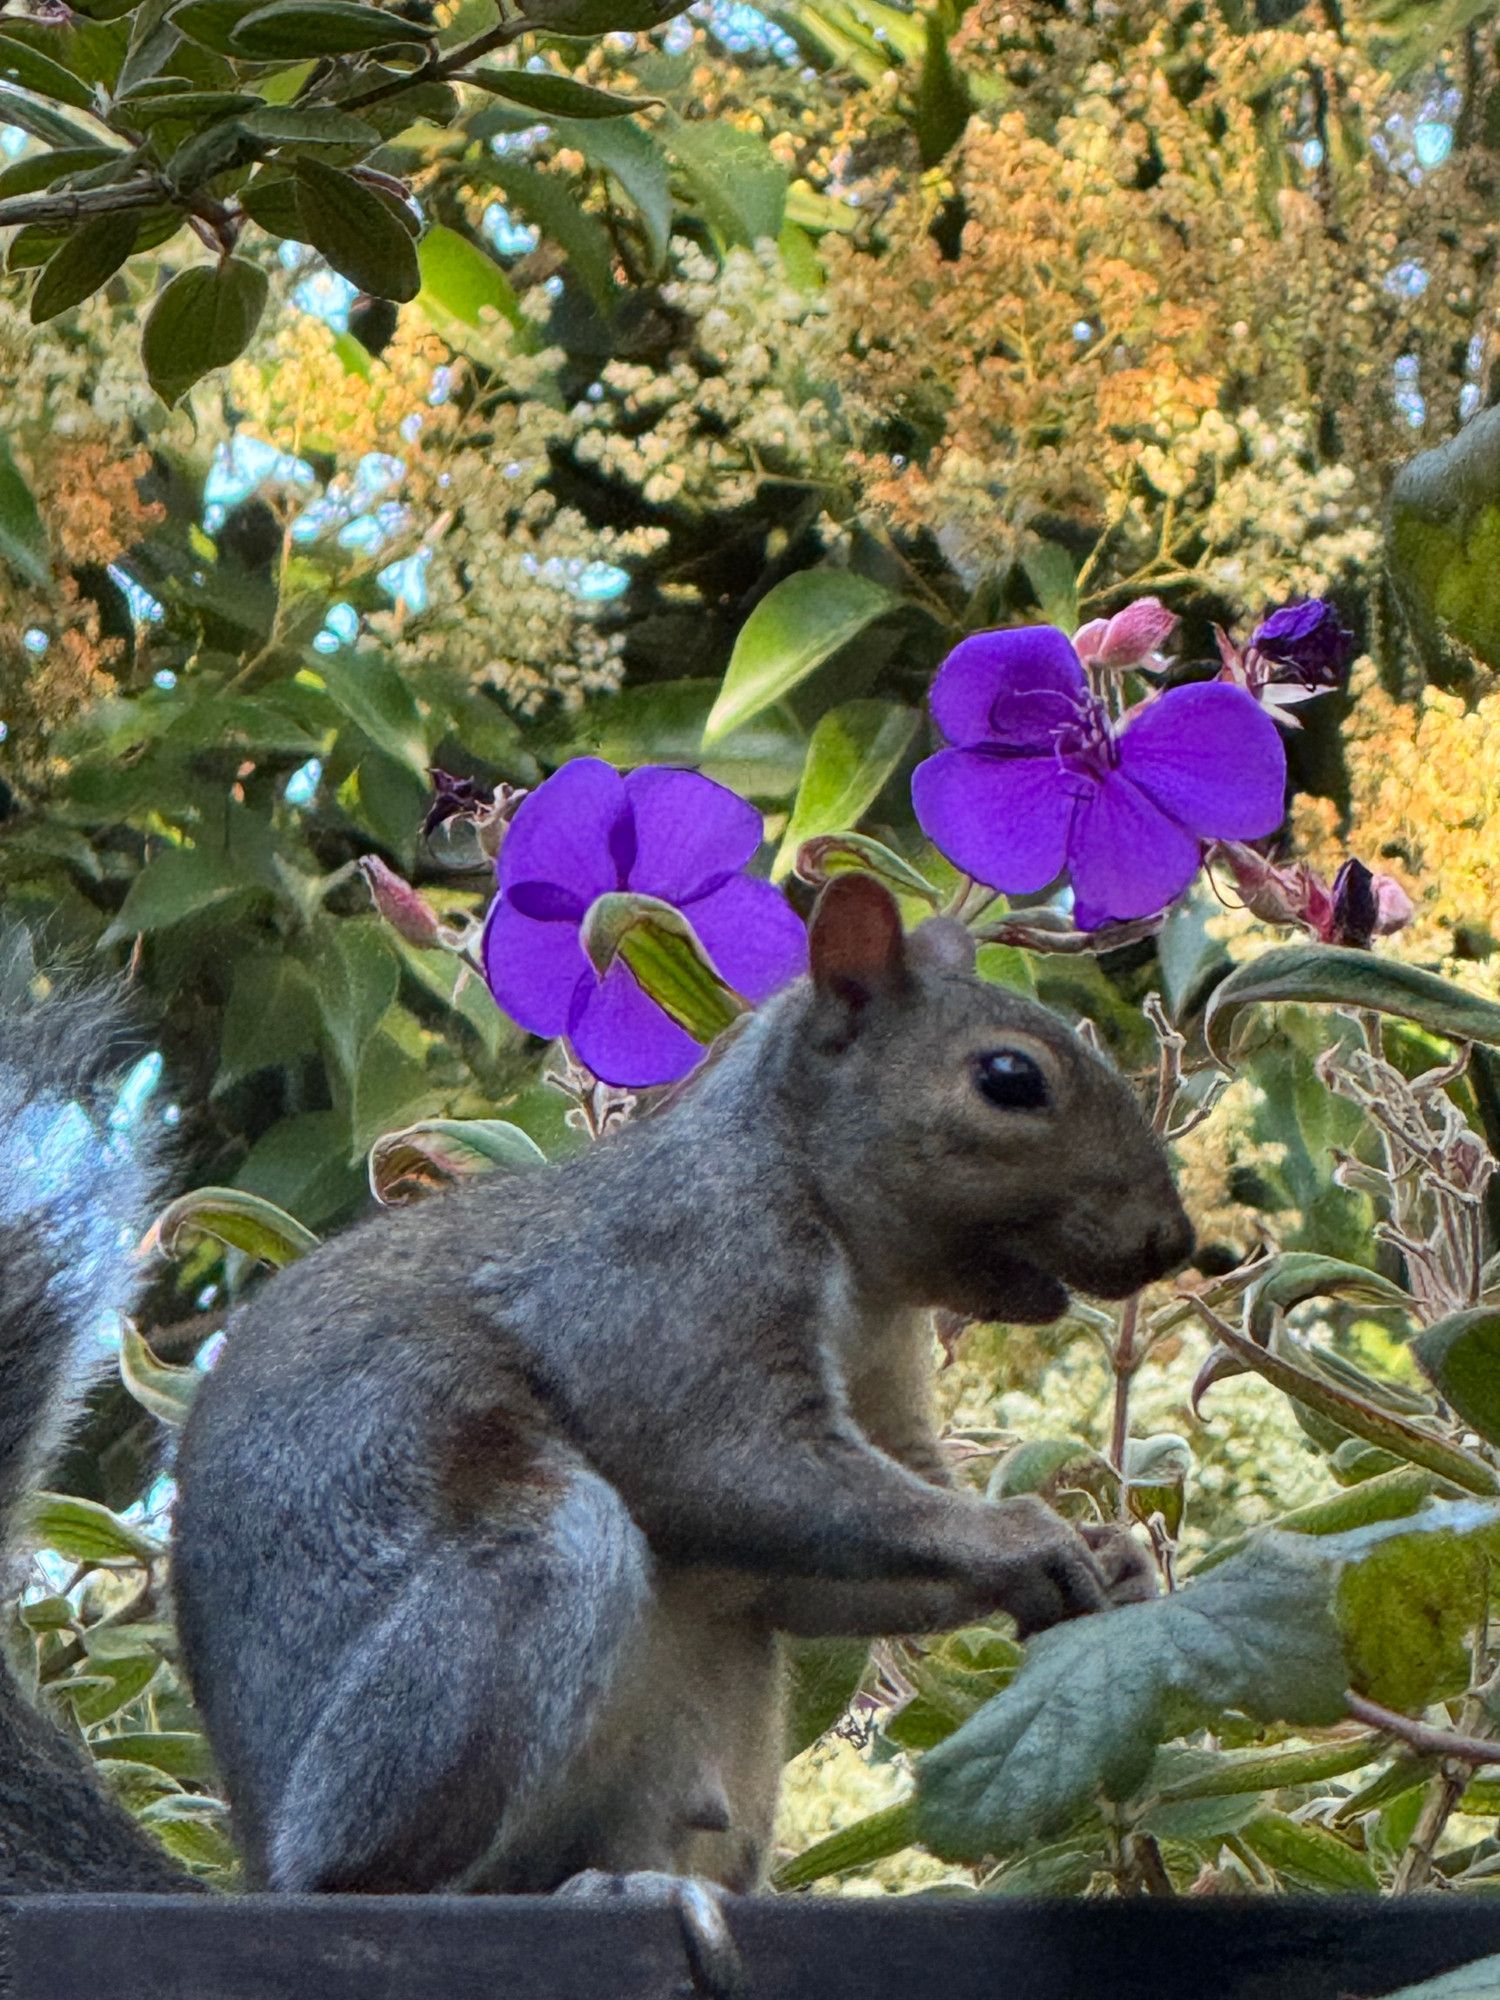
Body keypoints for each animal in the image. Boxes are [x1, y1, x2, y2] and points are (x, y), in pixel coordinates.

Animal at [0, 880, 1200, 1904]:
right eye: (1008, 1079)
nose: (1175, 1241)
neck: (852, 1258)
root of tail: (261, 1863)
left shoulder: (884, 1388)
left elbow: (824, 1576)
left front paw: (1112, 1557)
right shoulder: (670, 1298)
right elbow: (745, 1471)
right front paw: (1023, 1537)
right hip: (497, 1622)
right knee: (368, 1871)